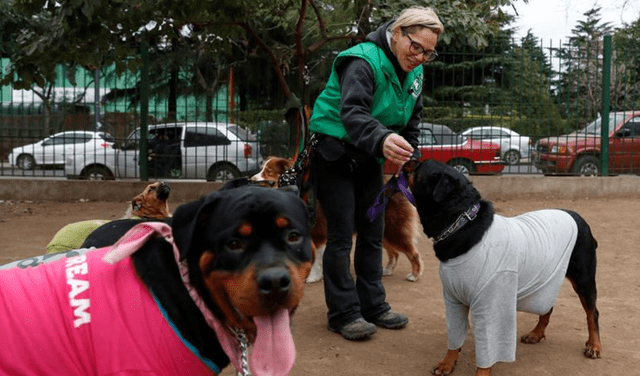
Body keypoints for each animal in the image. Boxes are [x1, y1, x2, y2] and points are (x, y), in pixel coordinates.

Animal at [251, 156, 424, 282]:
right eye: (261, 169)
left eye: (268, 171)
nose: (251, 179)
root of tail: (394, 184)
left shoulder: (317, 233)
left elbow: (314, 258)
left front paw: (313, 277)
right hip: (382, 231)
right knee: (394, 253)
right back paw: (387, 270)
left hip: (394, 230)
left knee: (412, 253)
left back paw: (414, 275)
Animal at [402, 161, 604, 376]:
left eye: (419, 168)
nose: (408, 161)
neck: (461, 223)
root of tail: (578, 217)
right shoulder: (453, 299)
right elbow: (454, 336)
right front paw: (447, 363)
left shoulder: (490, 304)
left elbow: (488, 350)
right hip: (546, 280)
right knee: (547, 306)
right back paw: (536, 334)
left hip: (584, 279)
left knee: (592, 312)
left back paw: (594, 345)